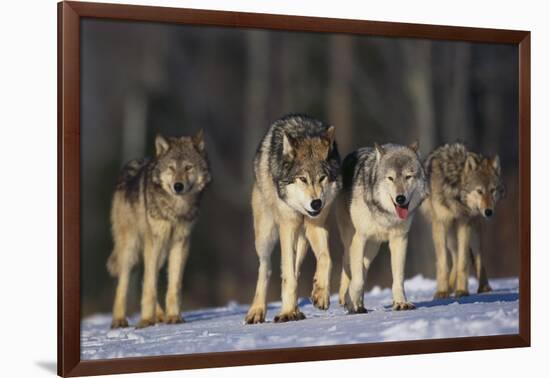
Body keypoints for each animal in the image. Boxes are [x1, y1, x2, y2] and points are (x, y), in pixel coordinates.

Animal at [107, 131, 211, 328]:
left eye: (188, 168)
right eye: (171, 168)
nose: (178, 186)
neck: (176, 209)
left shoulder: (181, 243)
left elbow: (173, 285)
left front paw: (174, 317)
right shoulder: (154, 242)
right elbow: (150, 285)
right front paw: (146, 320)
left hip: (160, 251)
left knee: (146, 277)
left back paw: (161, 315)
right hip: (132, 248)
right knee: (124, 283)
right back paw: (119, 320)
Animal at [245, 113, 340, 324]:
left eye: (322, 178)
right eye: (302, 179)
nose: (316, 203)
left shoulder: (316, 225)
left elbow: (326, 258)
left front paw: (320, 294)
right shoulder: (287, 226)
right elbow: (287, 273)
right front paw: (287, 312)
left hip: (303, 236)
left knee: (295, 268)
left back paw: (296, 309)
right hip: (265, 236)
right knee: (266, 268)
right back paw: (257, 311)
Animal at [334, 142, 430, 314]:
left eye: (408, 176)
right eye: (390, 178)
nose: (400, 198)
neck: (386, 214)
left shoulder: (400, 239)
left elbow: (398, 278)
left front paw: (401, 303)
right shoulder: (360, 238)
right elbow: (357, 279)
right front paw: (350, 300)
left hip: (373, 248)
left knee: (364, 268)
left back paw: (360, 305)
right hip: (351, 240)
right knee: (348, 264)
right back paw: (346, 298)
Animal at [424, 142, 506, 298]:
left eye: (492, 190)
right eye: (479, 191)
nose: (489, 212)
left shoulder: (465, 223)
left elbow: (464, 262)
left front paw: (462, 290)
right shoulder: (440, 224)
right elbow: (444, 263)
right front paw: (442, 291)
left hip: (473, 231)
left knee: (477, 258)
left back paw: (484, 287)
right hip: (450, 234)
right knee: (455, 258)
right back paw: (450, 288)